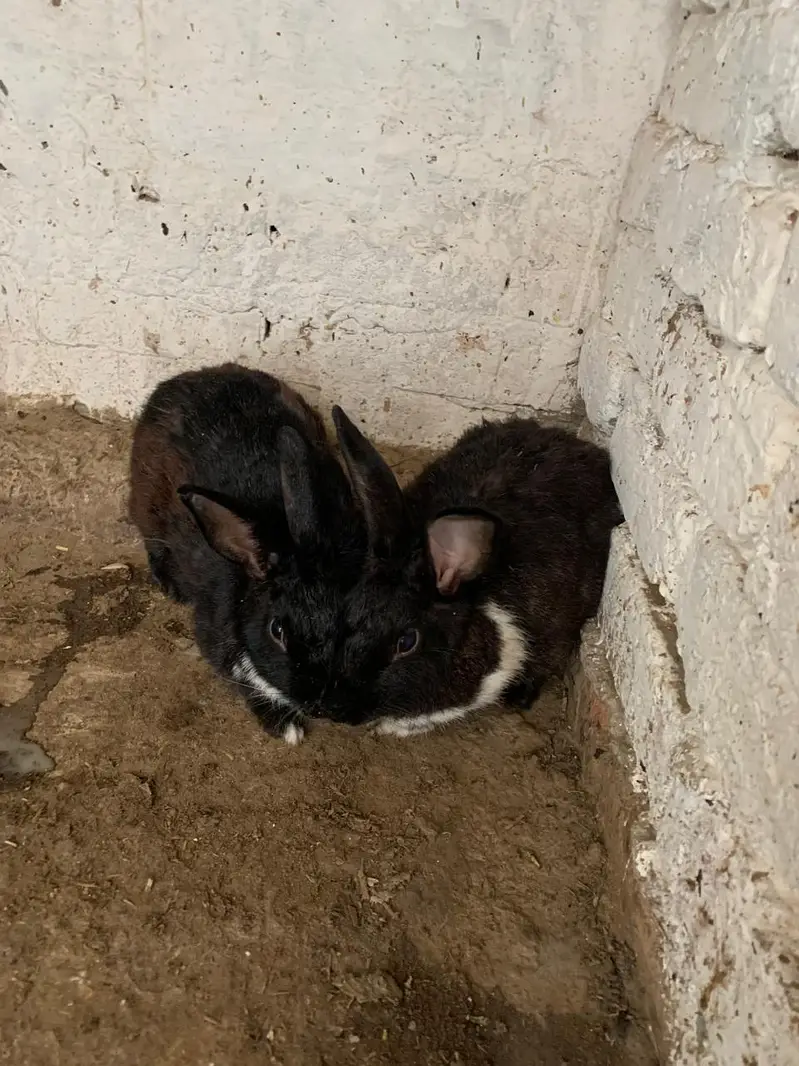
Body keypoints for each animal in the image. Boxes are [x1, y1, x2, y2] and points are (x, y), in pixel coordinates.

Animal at [128, 363, 365, 744]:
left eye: (354, 620)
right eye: (276, 631)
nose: (320, 705)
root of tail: (185, 378)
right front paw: (286, 728)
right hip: (146, 505)